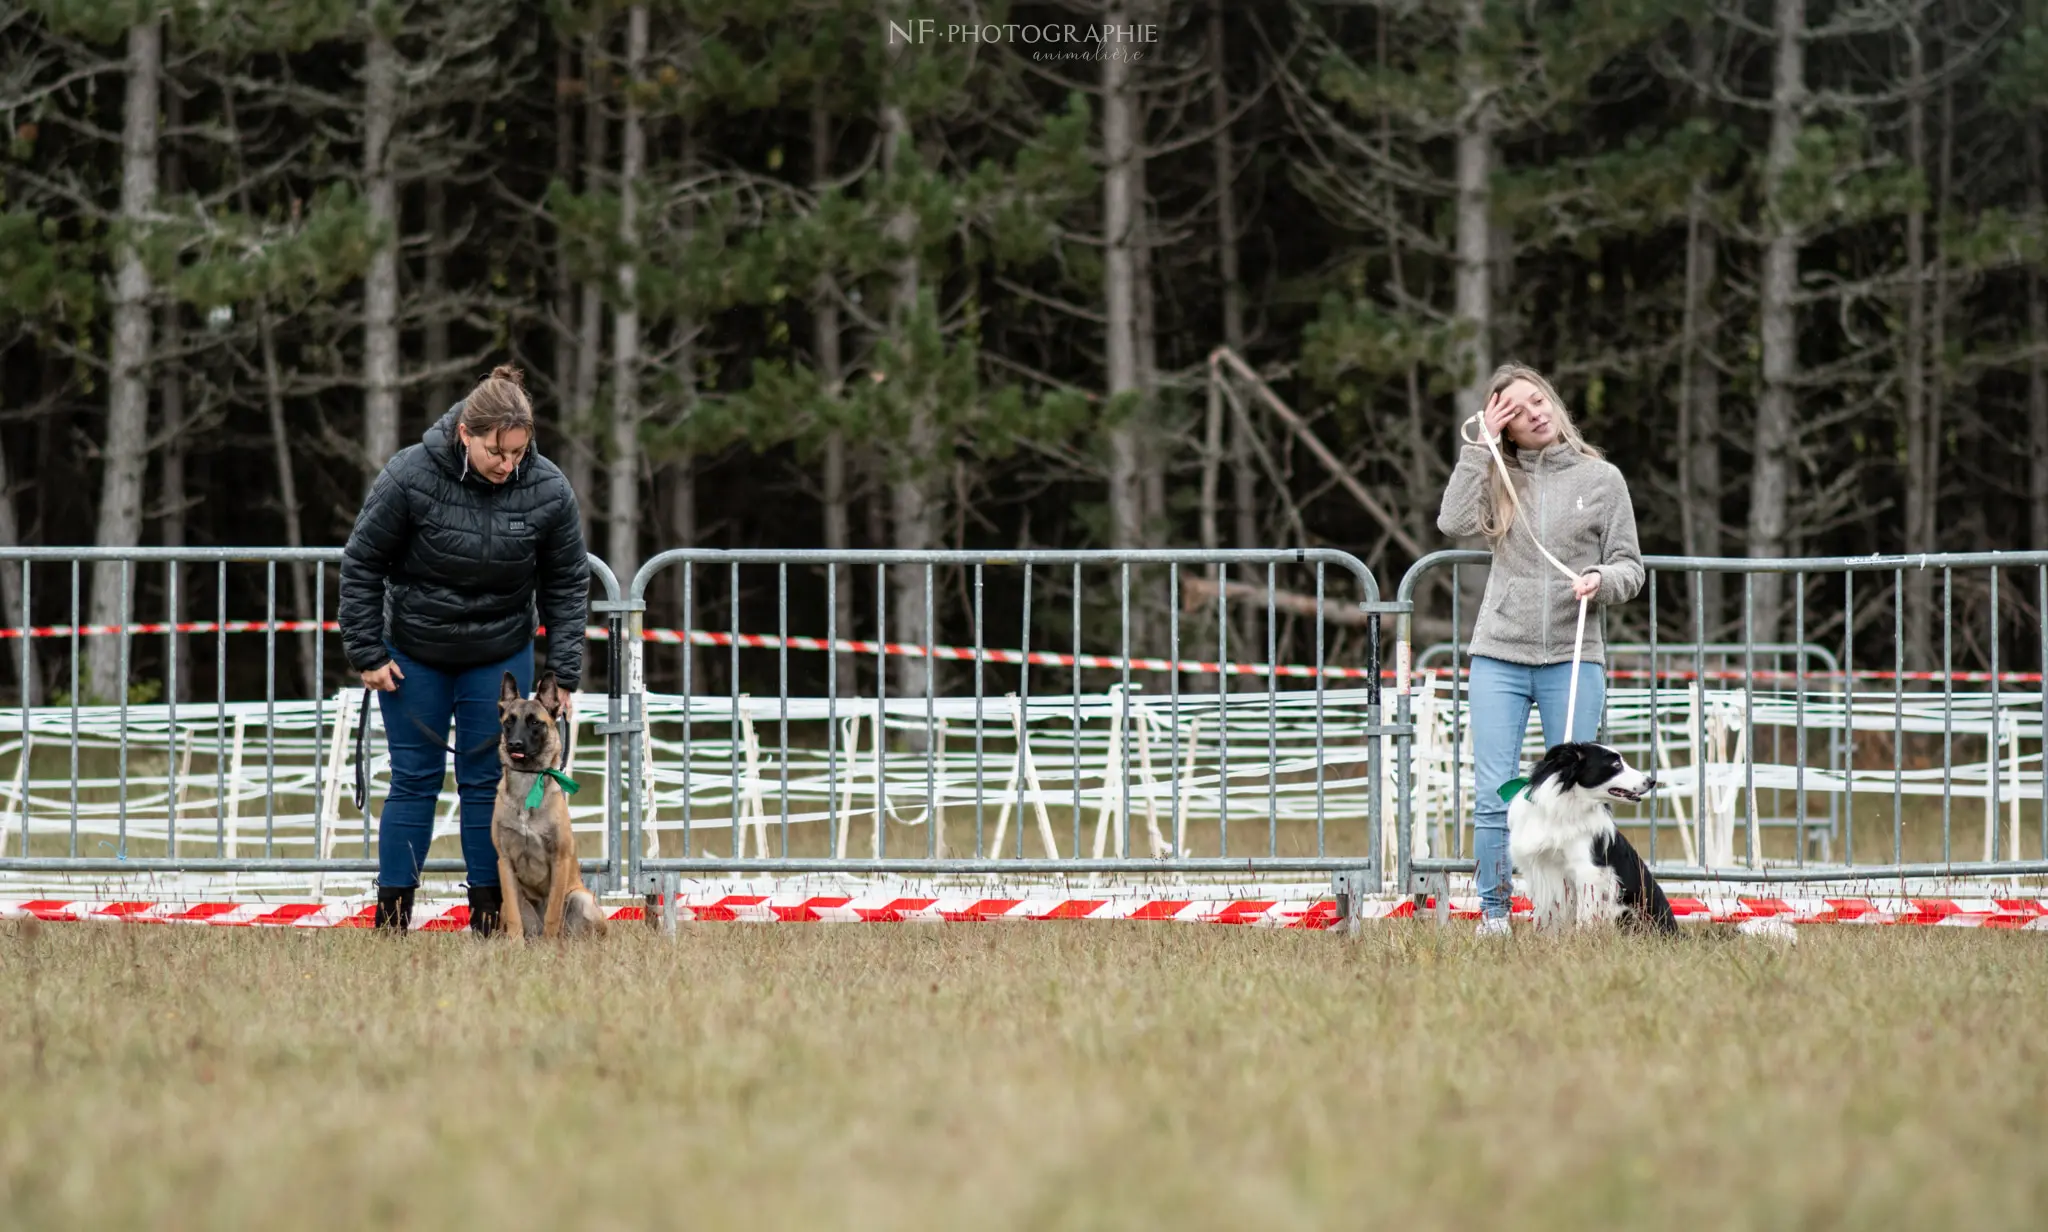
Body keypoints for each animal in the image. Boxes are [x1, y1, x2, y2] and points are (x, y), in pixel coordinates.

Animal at [495, 667, 606, 937]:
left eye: (535, 722)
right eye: (509, 721)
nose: (514, 745)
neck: (528, 782)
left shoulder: (559, 859)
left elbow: (553, 915)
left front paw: (550, 944)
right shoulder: (505, 863)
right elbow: (515, 918)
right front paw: (514, 945)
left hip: (581, 898)